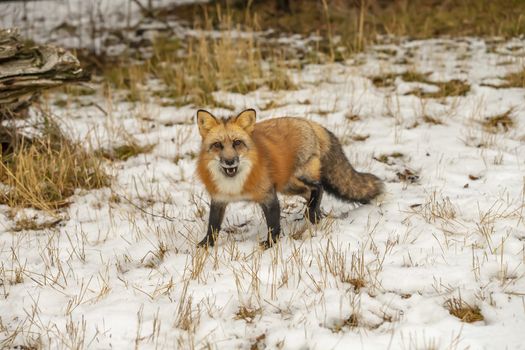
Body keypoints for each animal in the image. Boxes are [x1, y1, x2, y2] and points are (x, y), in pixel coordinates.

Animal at [194, 108, 382, 247]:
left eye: (237, 143)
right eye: (217, 145)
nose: (230, 161)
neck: (234, 186)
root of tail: (311, 123)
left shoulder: (268, 196)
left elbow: (273, 224)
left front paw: (271, 244)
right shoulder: (219, 199)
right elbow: (213, 226)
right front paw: (205, 245)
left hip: (299, 176)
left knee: (318, 187)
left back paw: (312, 214)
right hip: (288, 185)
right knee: (309, 193)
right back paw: (315, 215)